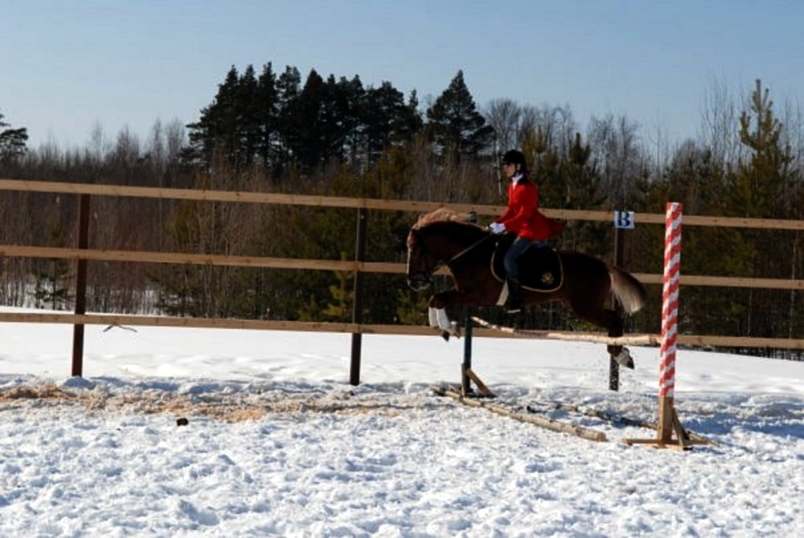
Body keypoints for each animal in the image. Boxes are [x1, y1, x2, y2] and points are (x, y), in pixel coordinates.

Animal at [406, 207, 652, 366]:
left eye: (415, 249)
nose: (413, 282)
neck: (472, 253)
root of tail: (602, 264)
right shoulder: (468, 294)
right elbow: (436, 299)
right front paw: (443, 328)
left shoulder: (478, 295)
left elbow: (438, 298)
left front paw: (446, 328)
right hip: (580, 305)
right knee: (614, 319)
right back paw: (622, 353)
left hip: (585, 307)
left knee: (615, 319)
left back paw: (621, 354)